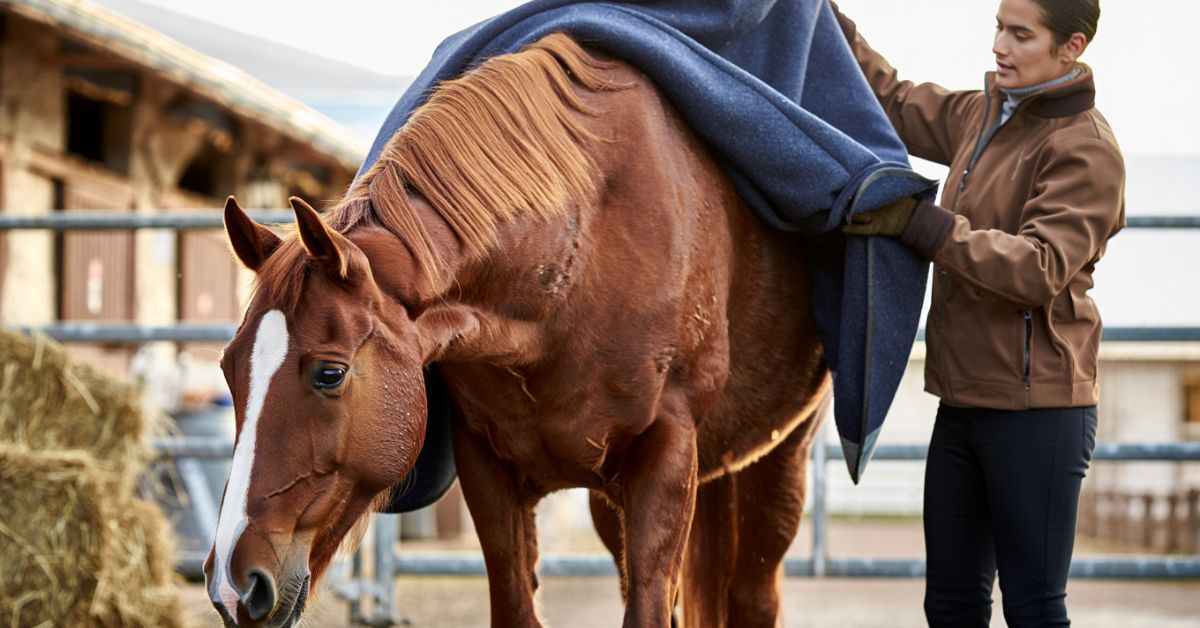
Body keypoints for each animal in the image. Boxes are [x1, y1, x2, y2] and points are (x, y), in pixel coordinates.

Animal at [205, 33, 831, 628]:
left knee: (754, 596)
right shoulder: (488, 469)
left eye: (330, 374)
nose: (233, 585)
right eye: (229, 369)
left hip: (779, 466)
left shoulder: (668, 457)